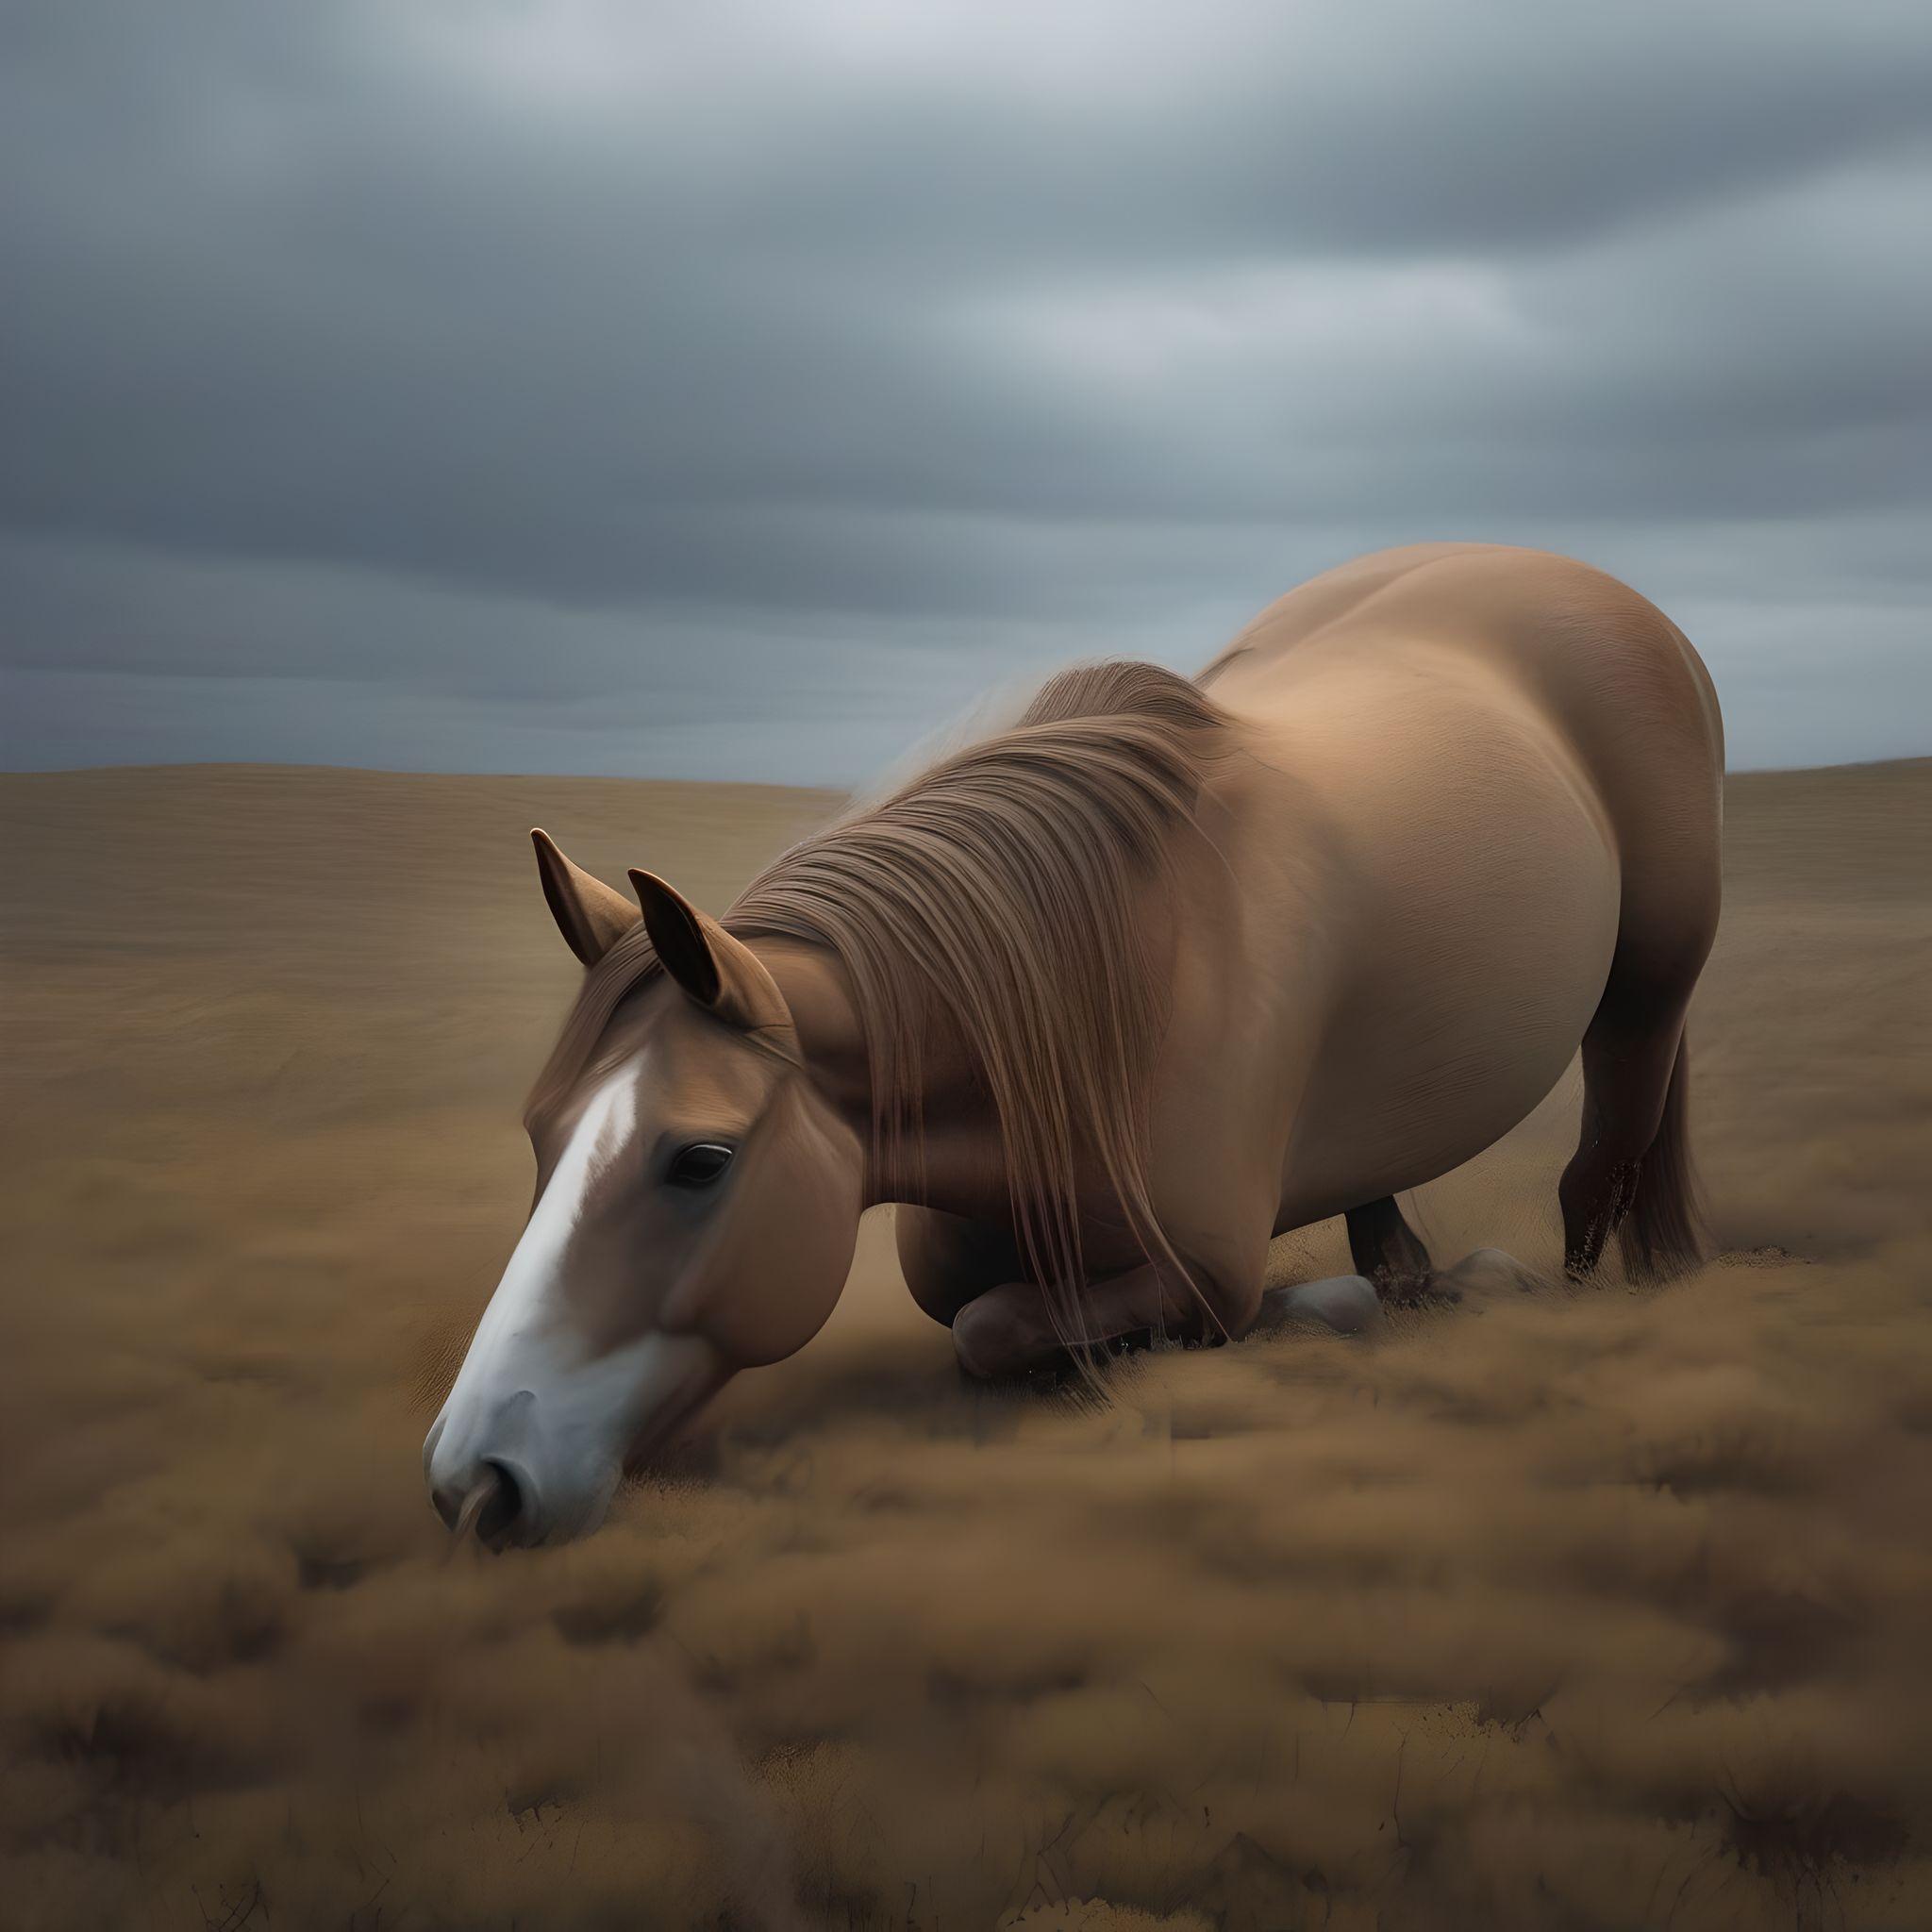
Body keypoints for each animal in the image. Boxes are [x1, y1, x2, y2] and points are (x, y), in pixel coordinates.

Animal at [424, 542, 1724, 1548]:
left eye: (698, 1159)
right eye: (539, 1133)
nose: (470, 1480)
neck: (1102, 995)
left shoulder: (1204, 1266)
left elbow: (1006, 1326)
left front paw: (1312, 1307)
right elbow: (977, 1320)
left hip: (1648, 984)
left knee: (1602, 1158)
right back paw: (1419, 1277)